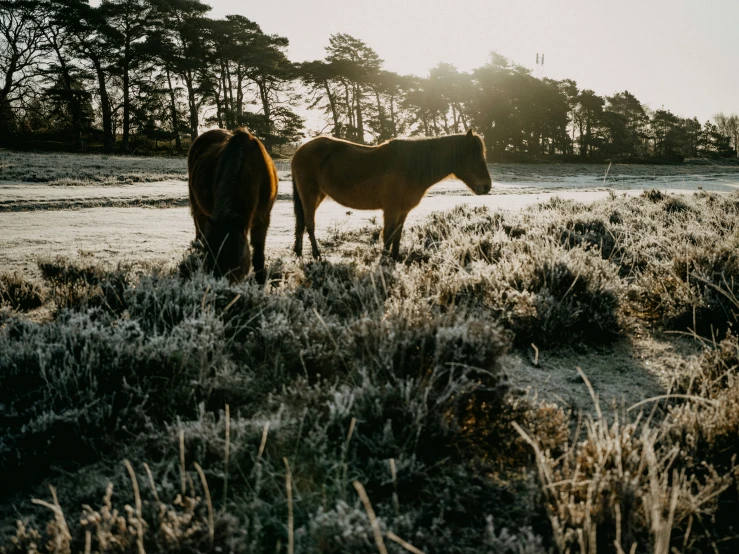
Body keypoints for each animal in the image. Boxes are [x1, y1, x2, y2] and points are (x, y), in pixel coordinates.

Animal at [188, 128, 278, 282]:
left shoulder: (263, 218)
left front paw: (260, 279)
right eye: (209, 255)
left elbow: (258, 252)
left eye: (234, 257)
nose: (218, 285)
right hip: (196, 205)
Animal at [294, 129, 492, 258]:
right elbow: (388, 235)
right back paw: (316, 254)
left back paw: (298, 252)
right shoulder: (391, 209)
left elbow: (397, 234)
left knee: (301, 223)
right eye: (473, 156)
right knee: (309, 224)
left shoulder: (403, 211)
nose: (487, 186)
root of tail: (300, 150)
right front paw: (384, 260)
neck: (411, 168)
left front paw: (395, 258)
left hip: (318, 195)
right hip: (310, 194)